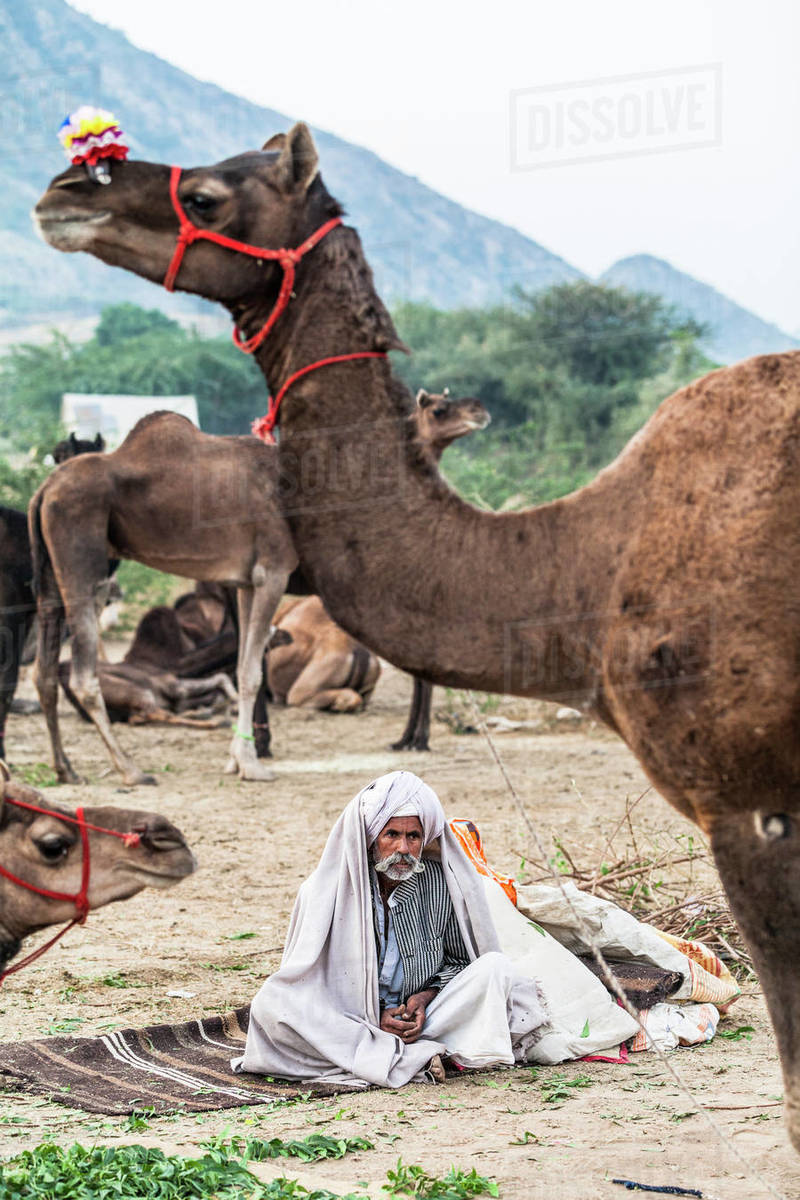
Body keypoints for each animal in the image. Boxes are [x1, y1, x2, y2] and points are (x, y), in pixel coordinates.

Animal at [28, 412, 298, 787]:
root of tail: (43, 491)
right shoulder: (271, 570)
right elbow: (251, 671)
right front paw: (252, 765)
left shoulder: (246, 581)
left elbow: (246, 664)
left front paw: (240, 759)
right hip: (82, 562)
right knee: (82, 677)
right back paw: (131, 770)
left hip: (50, 577)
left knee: (44, 672)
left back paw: (66, 769)